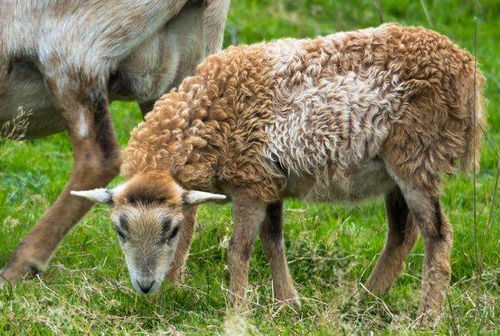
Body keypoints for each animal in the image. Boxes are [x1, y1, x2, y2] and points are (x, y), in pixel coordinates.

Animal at [73, 23, 484, 326]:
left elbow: (239, 249)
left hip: (416, 156)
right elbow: (273, 241)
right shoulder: (267, 181)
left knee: (437, 233)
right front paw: (286, 303)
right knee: (402, 234)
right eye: (119, 230)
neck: (206, 118)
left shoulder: (250, 185)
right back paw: (366, 299)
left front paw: (236, 311)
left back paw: (427, 317)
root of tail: (468, 70)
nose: (144, 287)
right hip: (394, 171)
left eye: (171, 230)